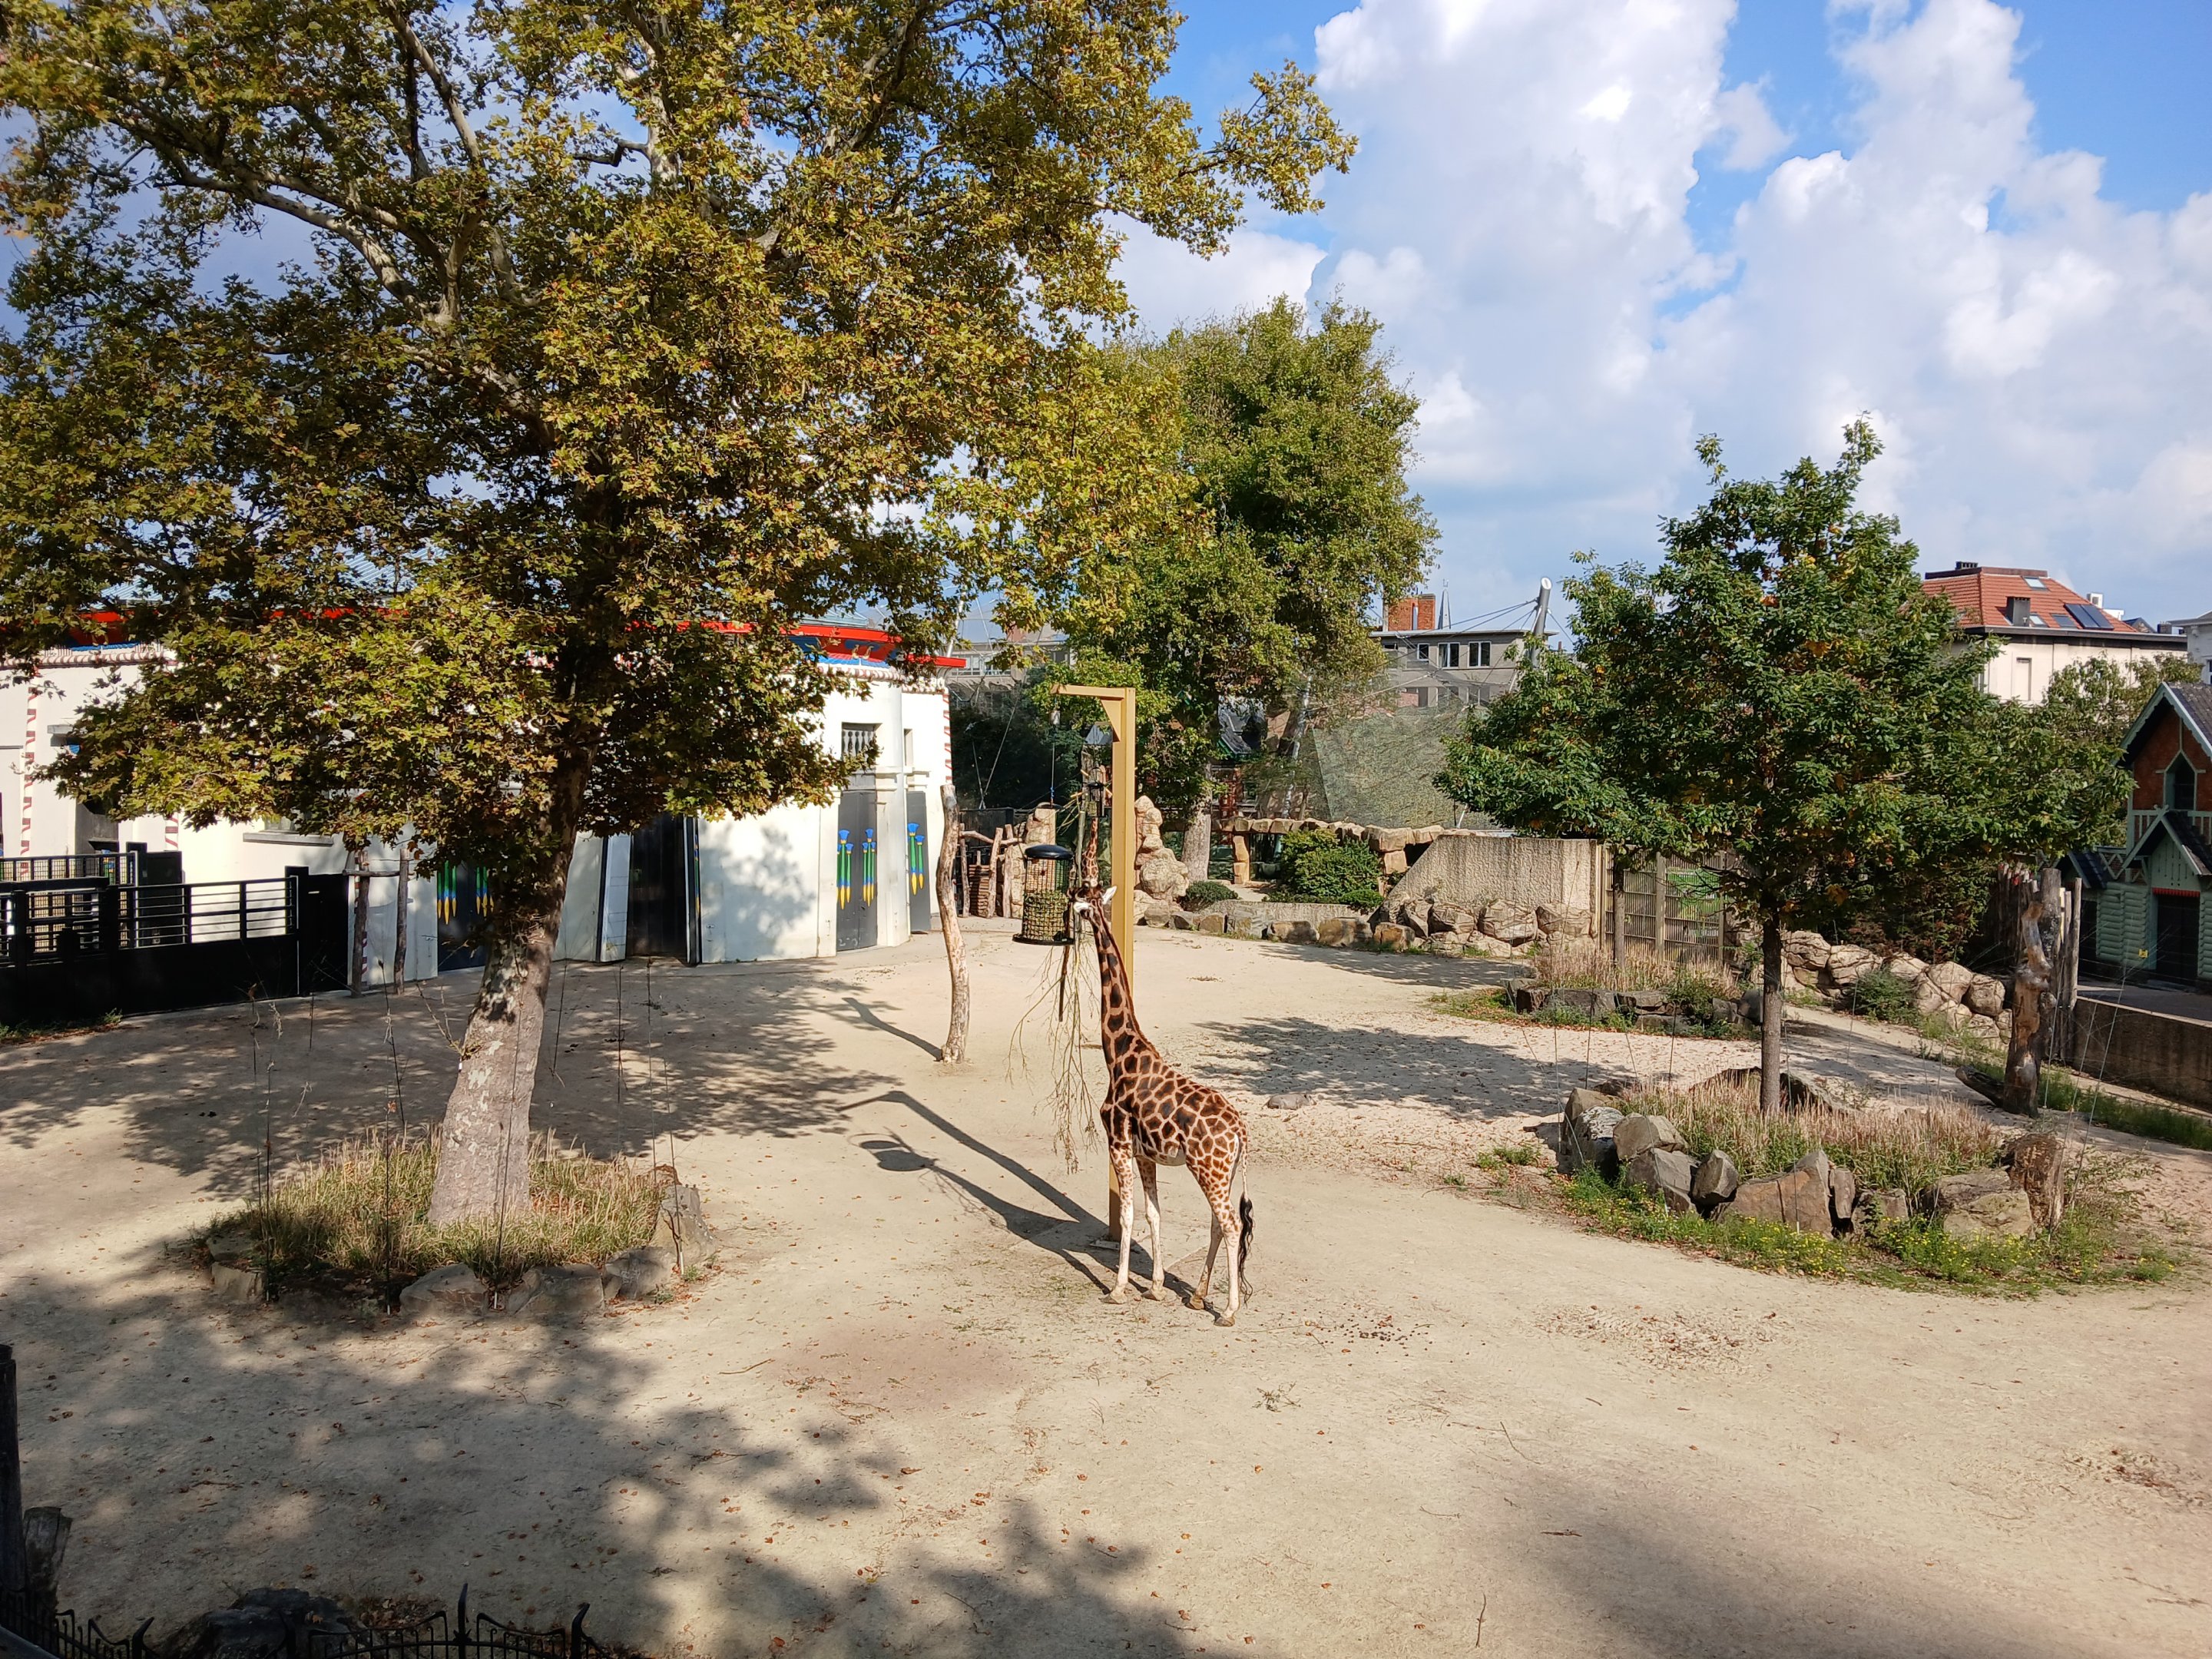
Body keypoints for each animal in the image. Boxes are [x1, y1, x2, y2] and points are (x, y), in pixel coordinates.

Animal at [1068, 884, 1253, 1324]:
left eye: (1080, 899)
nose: (1067, 904)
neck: (1119, 1053)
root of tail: (1241, 1131)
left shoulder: (1118, 1143)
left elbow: (1128, 1213)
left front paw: (1118, 1289)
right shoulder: (1145, 1154)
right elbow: (1154, 1212)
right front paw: (1154, 1288)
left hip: (1209, 1170)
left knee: (1232, 1225)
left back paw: (1228, 1310)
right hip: (1222, 1172)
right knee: (1218, 1223)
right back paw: (1199, 1296)